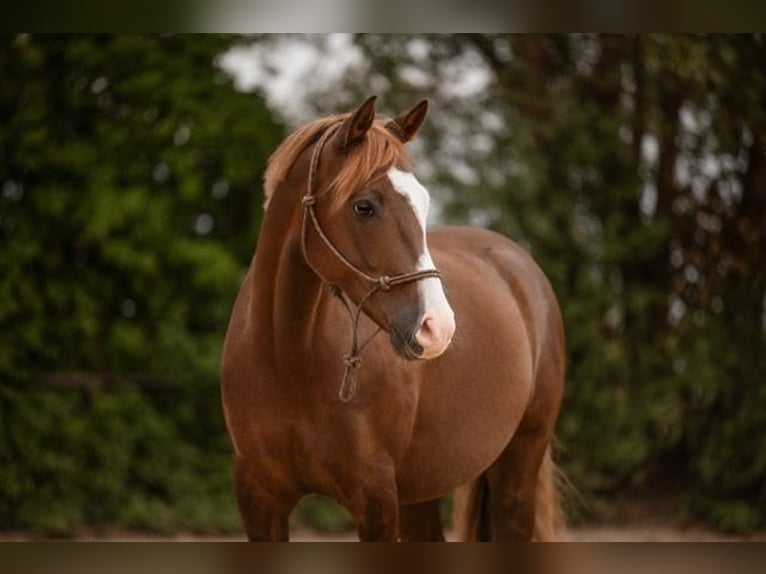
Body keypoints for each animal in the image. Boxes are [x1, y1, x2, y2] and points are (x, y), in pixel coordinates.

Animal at [219, 95, 568, 544]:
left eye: (424, 202)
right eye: (364, 206)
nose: (438, 327)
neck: (287, 358)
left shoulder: (376, 499)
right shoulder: (259, 500)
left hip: (518, 466)